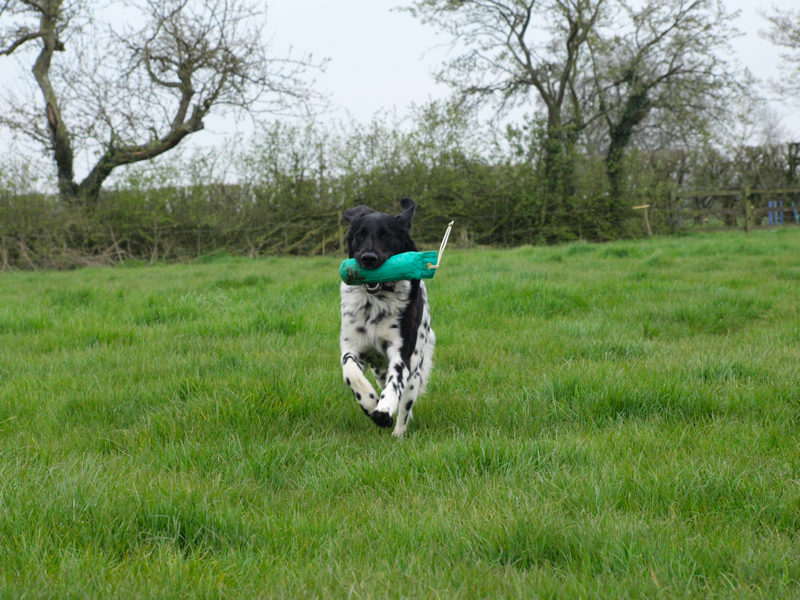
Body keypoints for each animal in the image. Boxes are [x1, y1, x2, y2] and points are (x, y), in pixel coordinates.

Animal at [340, 197, 434, 436]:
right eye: (359, 235)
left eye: (386, 235)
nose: (368, 259)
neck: (376, 301)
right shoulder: (352, 347)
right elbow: (350, 371)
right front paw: (370, 401)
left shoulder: (401, 353)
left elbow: (395, 383)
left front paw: (383, 410)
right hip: (379, 369)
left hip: (415, 370)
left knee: (405, 405)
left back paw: (398, 432)